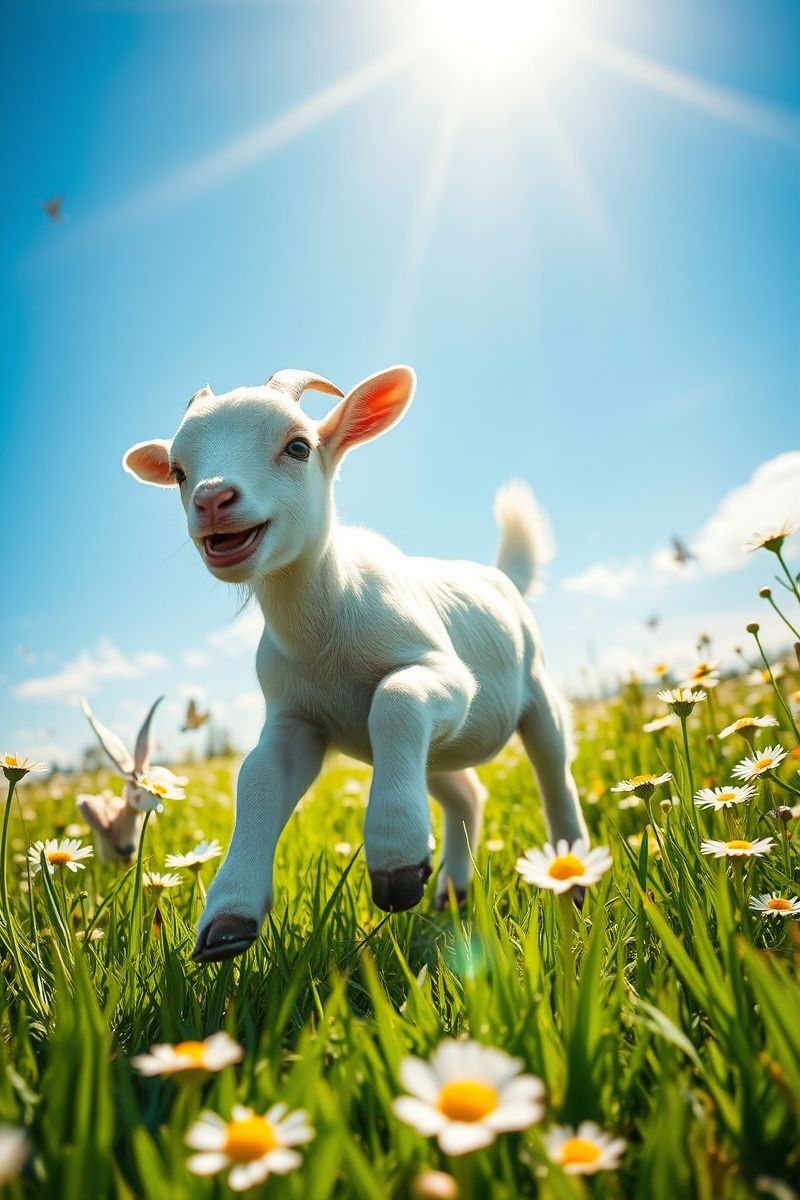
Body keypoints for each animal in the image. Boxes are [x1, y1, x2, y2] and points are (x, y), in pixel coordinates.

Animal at [123, 366, 587, 962]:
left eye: (298, 446)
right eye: (179, 472)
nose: (211, 498)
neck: (324, 633)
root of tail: (499, 576)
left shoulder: (446, 675)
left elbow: (396, 698)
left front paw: (394, 859)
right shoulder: (294, 718)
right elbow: (258, 775)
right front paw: (229, 914)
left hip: (537, 692)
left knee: (554, 772)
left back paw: (572, 877)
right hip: (437, 752)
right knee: (466, 793)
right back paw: (454, 890)